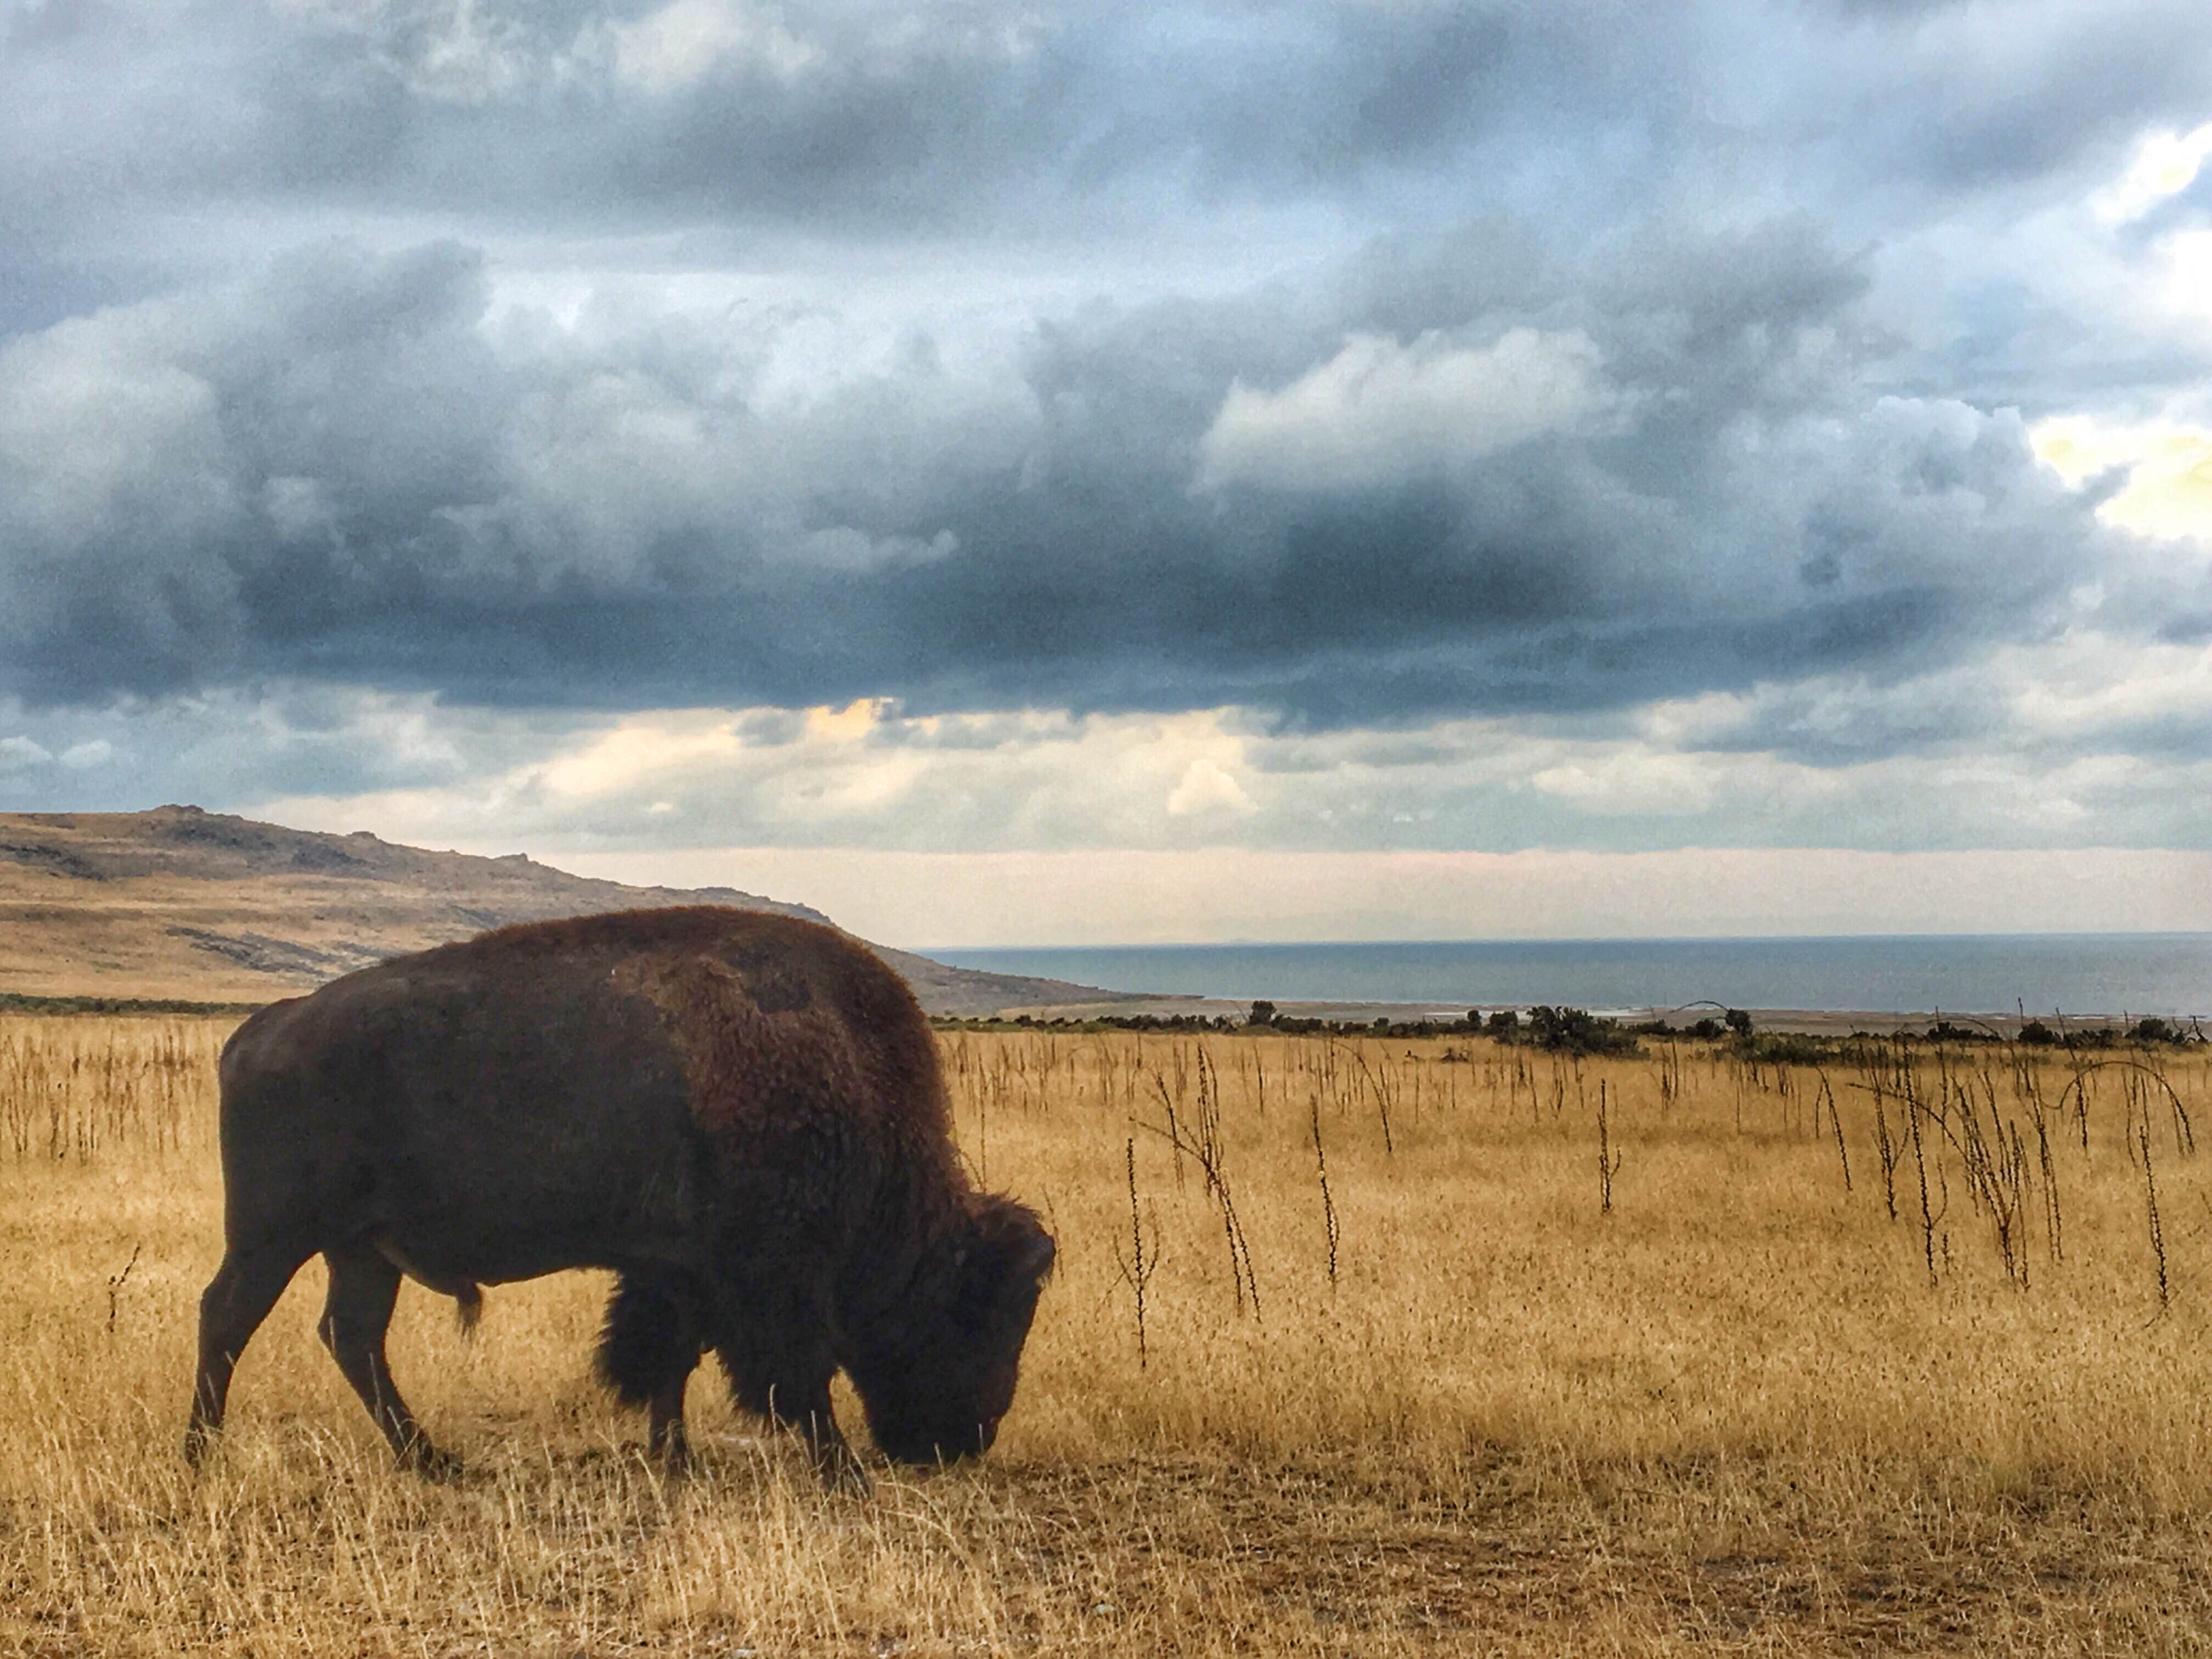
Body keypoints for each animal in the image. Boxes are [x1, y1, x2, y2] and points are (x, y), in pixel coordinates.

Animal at [181, 911, 1053, 1495]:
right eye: (979, 1310)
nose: (969, 1438)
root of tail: (259, 1031)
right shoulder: (773, 1279)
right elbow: (797, 1377)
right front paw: (842, 1474)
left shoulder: (677, 1271)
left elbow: (669, 1358)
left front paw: (674, 1457)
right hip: (273, 1235)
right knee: (228, 1317)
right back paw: (200, 1454)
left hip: (360, 1248)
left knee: (352, 1338)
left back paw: (435, 1462)